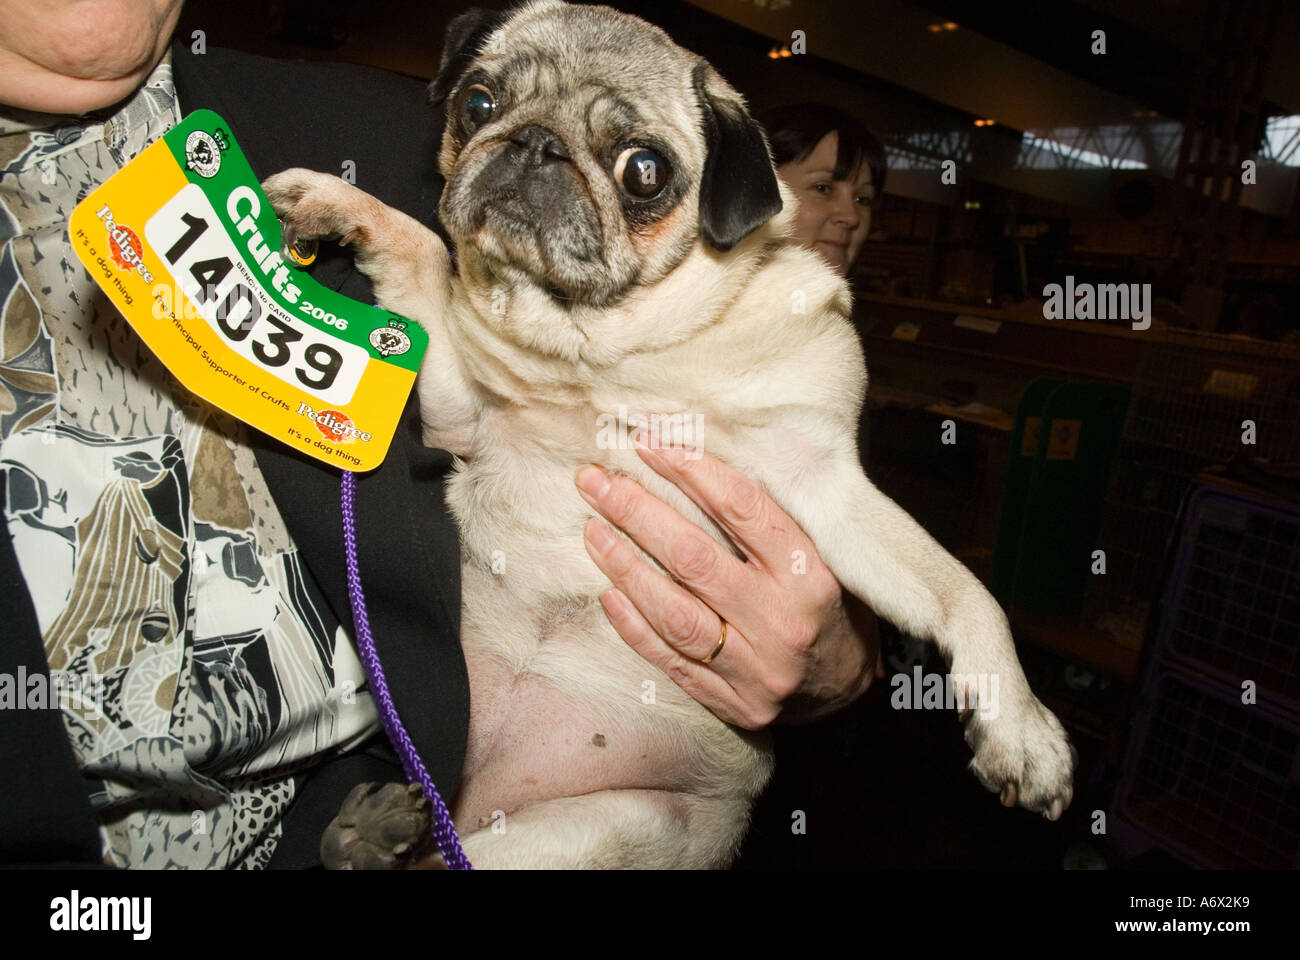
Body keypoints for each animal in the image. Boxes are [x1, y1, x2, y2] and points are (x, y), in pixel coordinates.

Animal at [266, 0, 1076, 868]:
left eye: (643, 171)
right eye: (478, 103)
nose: (534, 143)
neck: (610, 352)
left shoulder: (822, 483)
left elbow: (967, 594)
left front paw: (1024, 734)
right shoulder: (464, 412)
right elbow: (421, 248)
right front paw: (339, 204)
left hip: (607, 827)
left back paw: (376, 836)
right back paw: (367, 833)